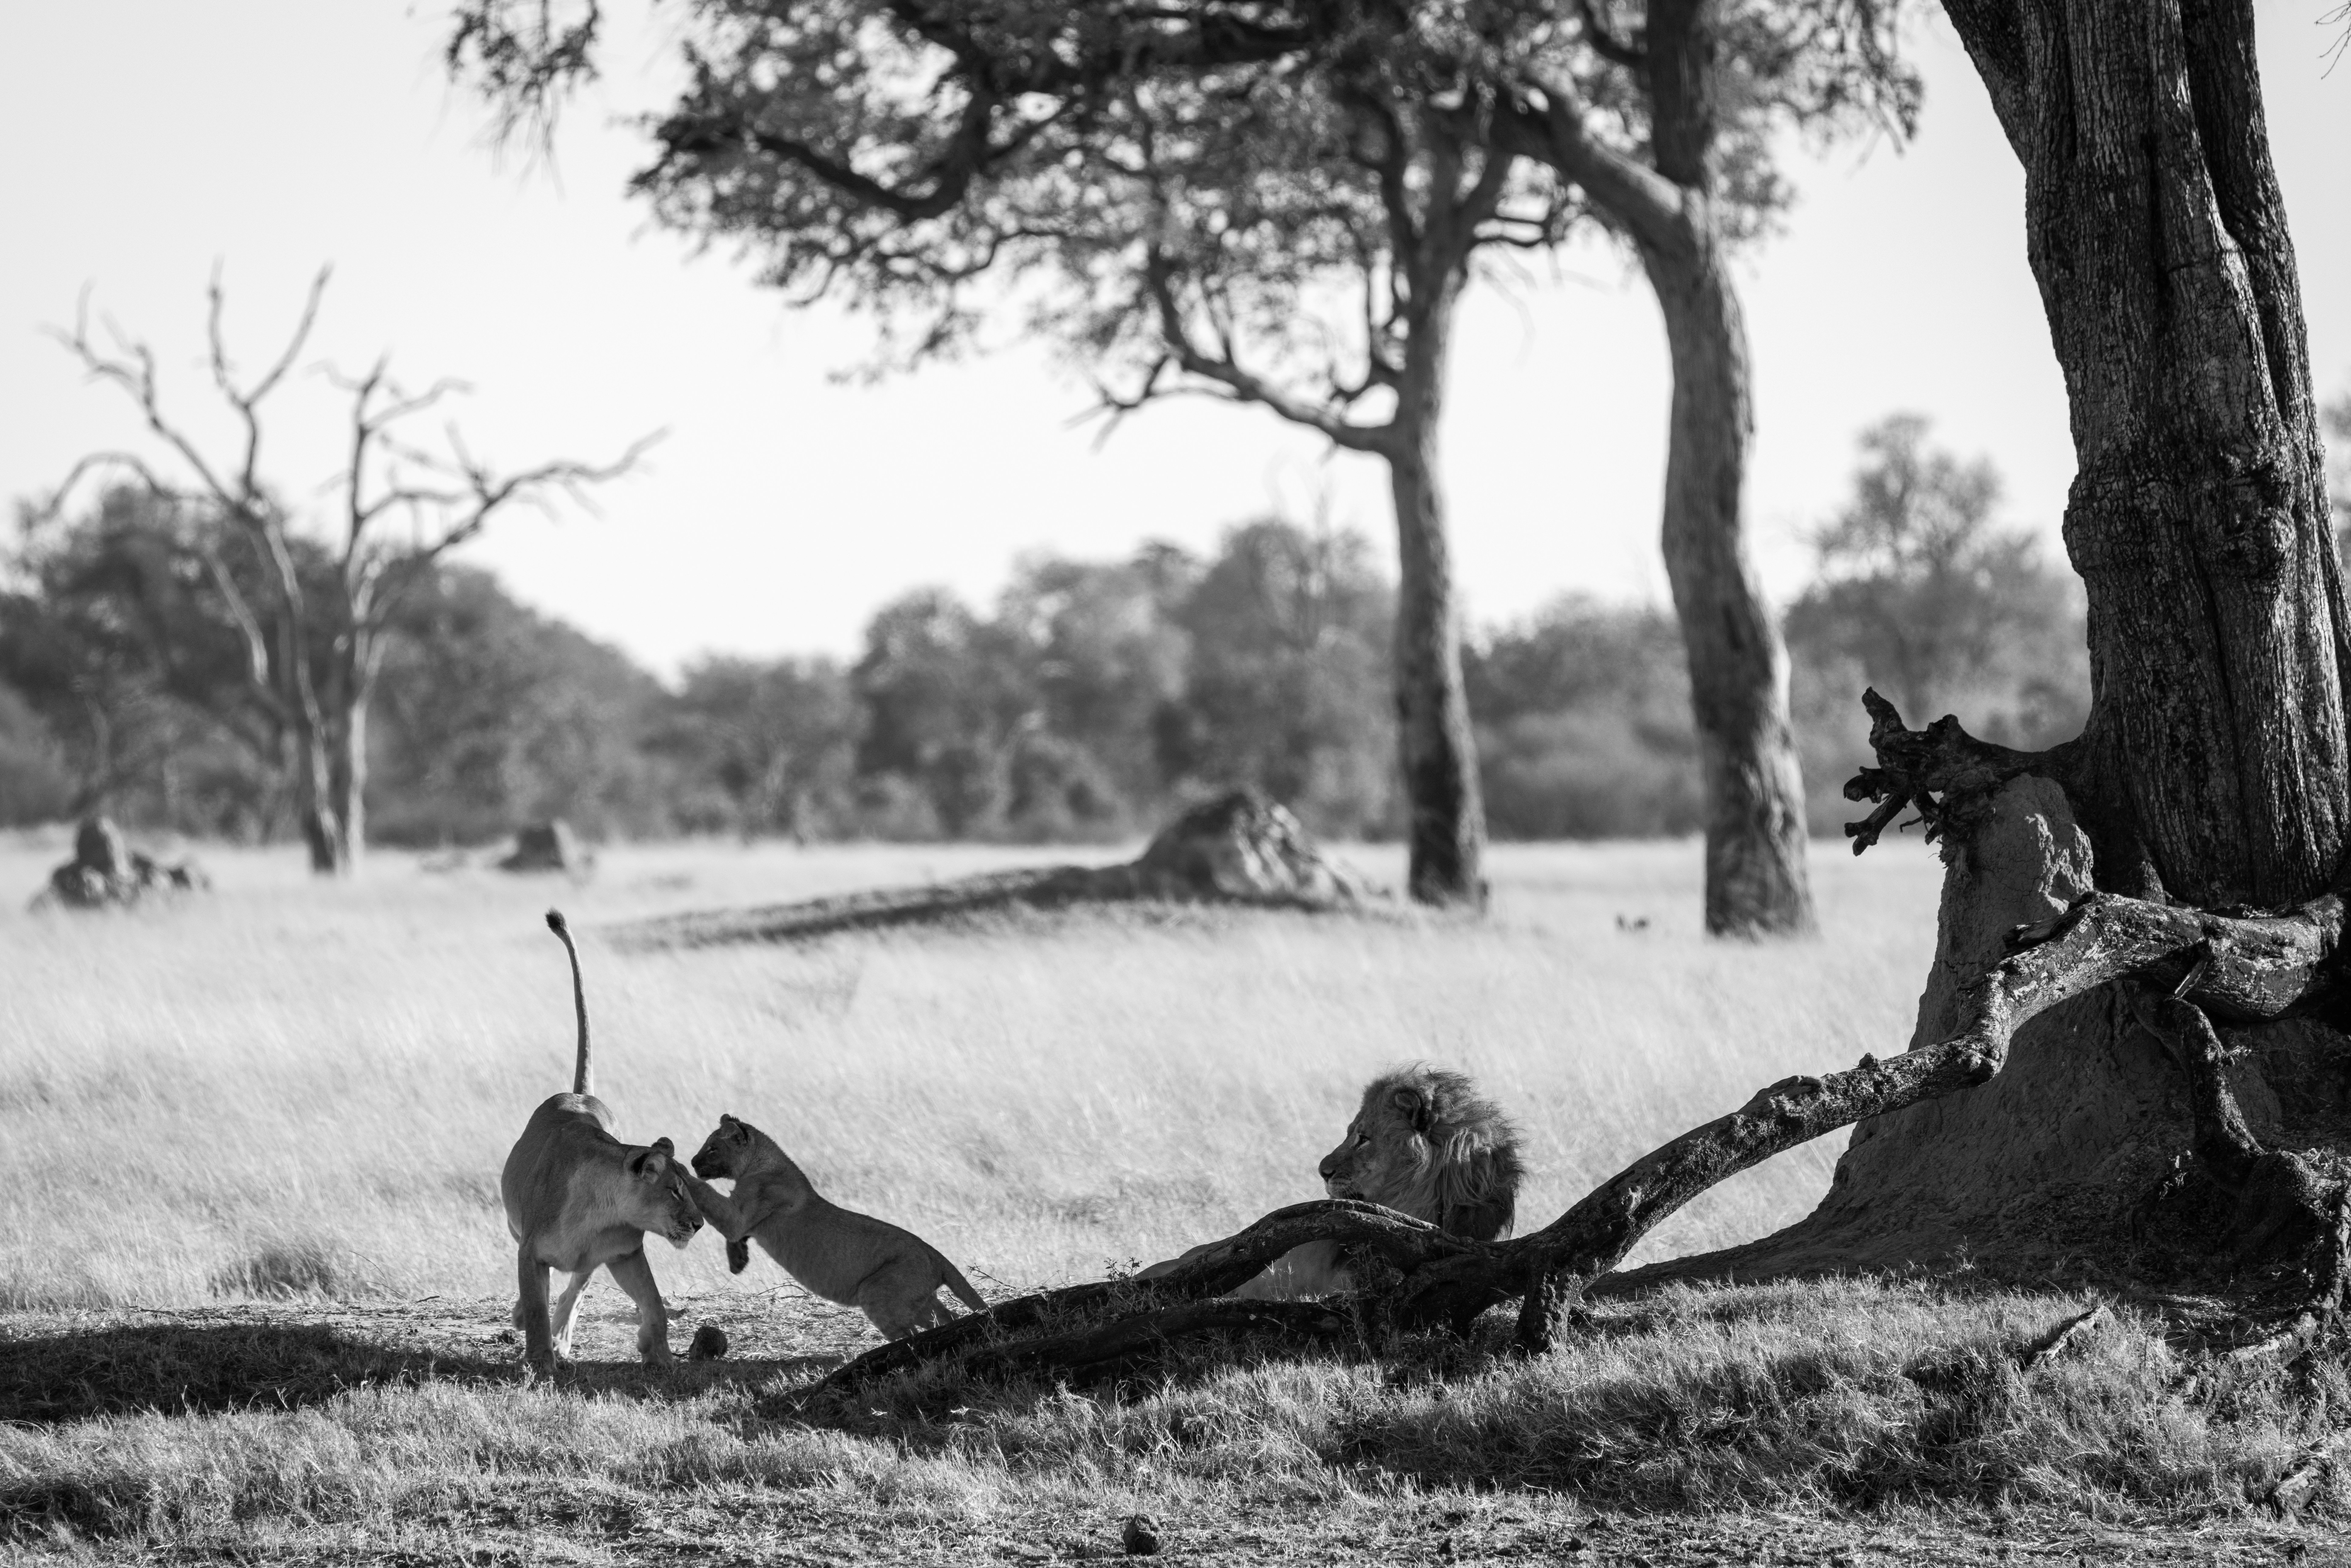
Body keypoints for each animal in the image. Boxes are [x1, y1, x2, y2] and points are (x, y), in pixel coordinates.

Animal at [500, 909, 712, 1373]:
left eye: (690, 1190)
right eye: (674, 1191)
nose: (698, 1224)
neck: (603, 1212)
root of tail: (579, 1093)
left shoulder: (625, 1253)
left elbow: (656, 1306)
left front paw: (659, 1355)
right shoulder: (530, 1250)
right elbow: (535, 1298)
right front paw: (540, 1360)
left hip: (593, 1260)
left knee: (578, 1284)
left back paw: (563, 1335)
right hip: (513, 1225)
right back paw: (531, 1323)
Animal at [688, 1113, 988, 1340]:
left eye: (713, 1148)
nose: (693, 1161)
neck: (756, 1165)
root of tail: (934, 1254)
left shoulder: (738, 1216)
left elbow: (706, 1195)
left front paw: (678, 1169)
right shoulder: (741, 1221)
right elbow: (734, 1235)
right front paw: (737, 1261)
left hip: (879, 1293)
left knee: (908, 1335)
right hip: (922, 1300)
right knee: (947, 1317)